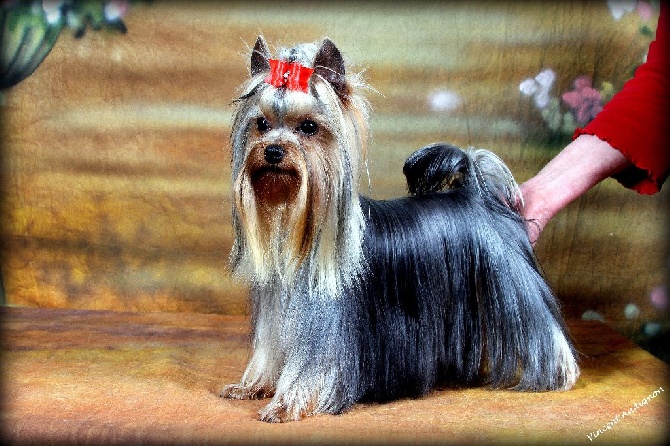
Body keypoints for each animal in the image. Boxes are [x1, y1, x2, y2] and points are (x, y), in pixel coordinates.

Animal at [223, 37, 580, 422]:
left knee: (541, 325)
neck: (299, 227)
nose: (273, 151)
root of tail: (475, 194)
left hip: (511, 282)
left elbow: (311, 367)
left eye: (308, 127)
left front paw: (287, 404)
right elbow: (270, 350)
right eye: (261, 123)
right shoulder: (276, 311)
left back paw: (561, 373)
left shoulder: (326, 330)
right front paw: (251, 386)